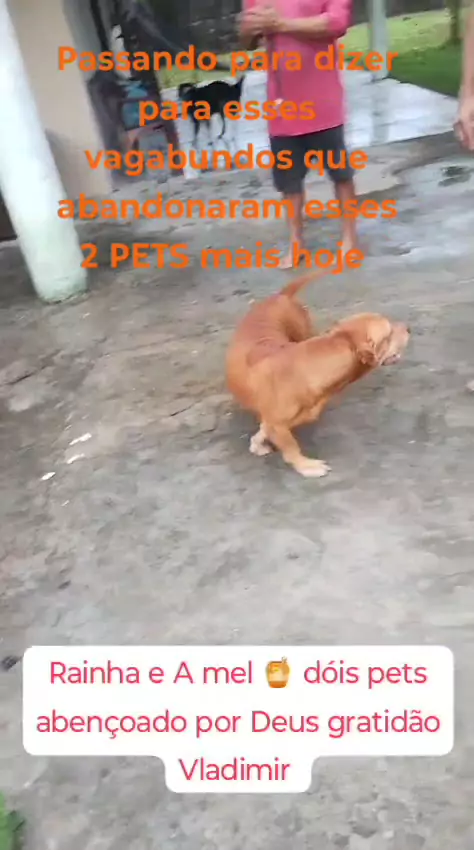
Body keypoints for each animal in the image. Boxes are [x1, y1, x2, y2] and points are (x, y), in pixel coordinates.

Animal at [226, 266, 410, 478]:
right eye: (389, 333)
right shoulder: (279, 425)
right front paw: (306, 466)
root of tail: (281, 296)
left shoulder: (274, 420)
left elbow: (265, 427)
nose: (408, 327)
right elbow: (291, 447)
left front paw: (257, 441)